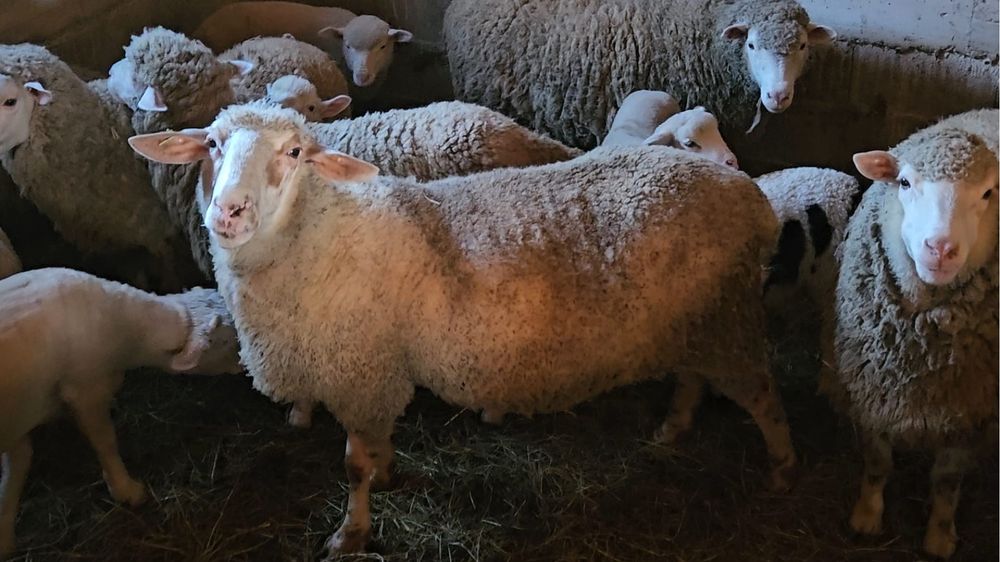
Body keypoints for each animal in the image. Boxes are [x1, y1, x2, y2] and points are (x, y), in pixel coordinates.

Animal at [0, 267, 236, 559]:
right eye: (226, 340)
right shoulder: (86, 391)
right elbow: (106, 442)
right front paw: (126, 489)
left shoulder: (17, 424)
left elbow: (18, 465)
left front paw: (4, 539)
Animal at [129, 102, 798, 556]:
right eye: (212, 143)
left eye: (294, 153)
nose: (229, 212)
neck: (323, 234)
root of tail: (750, 195)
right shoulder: (379, 372)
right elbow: (377, 449)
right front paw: (389, 474)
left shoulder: (360, 374)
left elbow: (352, 466)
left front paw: (351, 533)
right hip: (699, 318)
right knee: (693, 379)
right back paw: (672, 428)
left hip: (730, 319)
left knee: (764, 397)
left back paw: (782, 470)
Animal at [821, 109, 999, 559]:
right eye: (904, 183)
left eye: (989, 193)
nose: (940, 248)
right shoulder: (871, 388)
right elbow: (877, 462)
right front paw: (866, 516)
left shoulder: (967, 412)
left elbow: (947, 479)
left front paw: (939, 535)